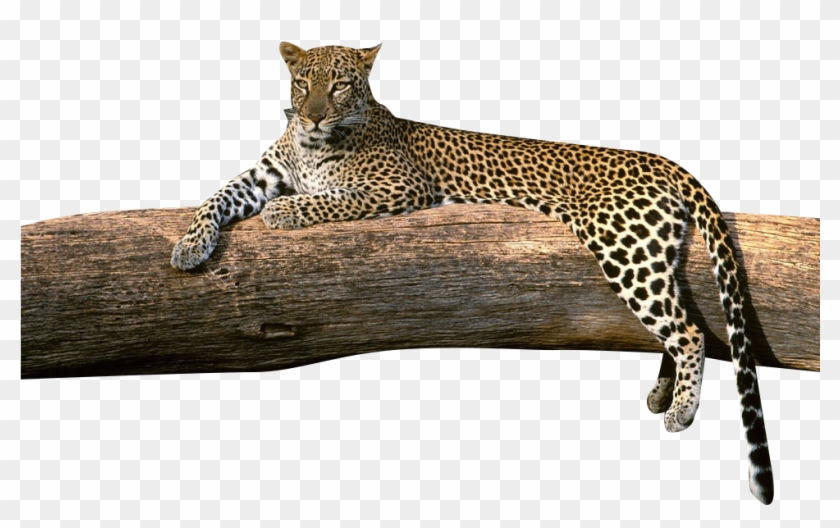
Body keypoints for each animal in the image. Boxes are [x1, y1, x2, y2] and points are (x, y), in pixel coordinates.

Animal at [171, 42, 774, 504]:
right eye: (303, 83)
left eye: (340, 86)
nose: (314, 114)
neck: (311, 143)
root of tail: (662, 161)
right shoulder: (261, 175)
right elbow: (216, 198)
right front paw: (187, 247)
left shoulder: (398, 188)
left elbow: (326, 201)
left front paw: (284, 213)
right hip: (652, 250)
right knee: (680, 315)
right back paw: (663, 394)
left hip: (622, 244)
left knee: (688, 329)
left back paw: (682, 412)